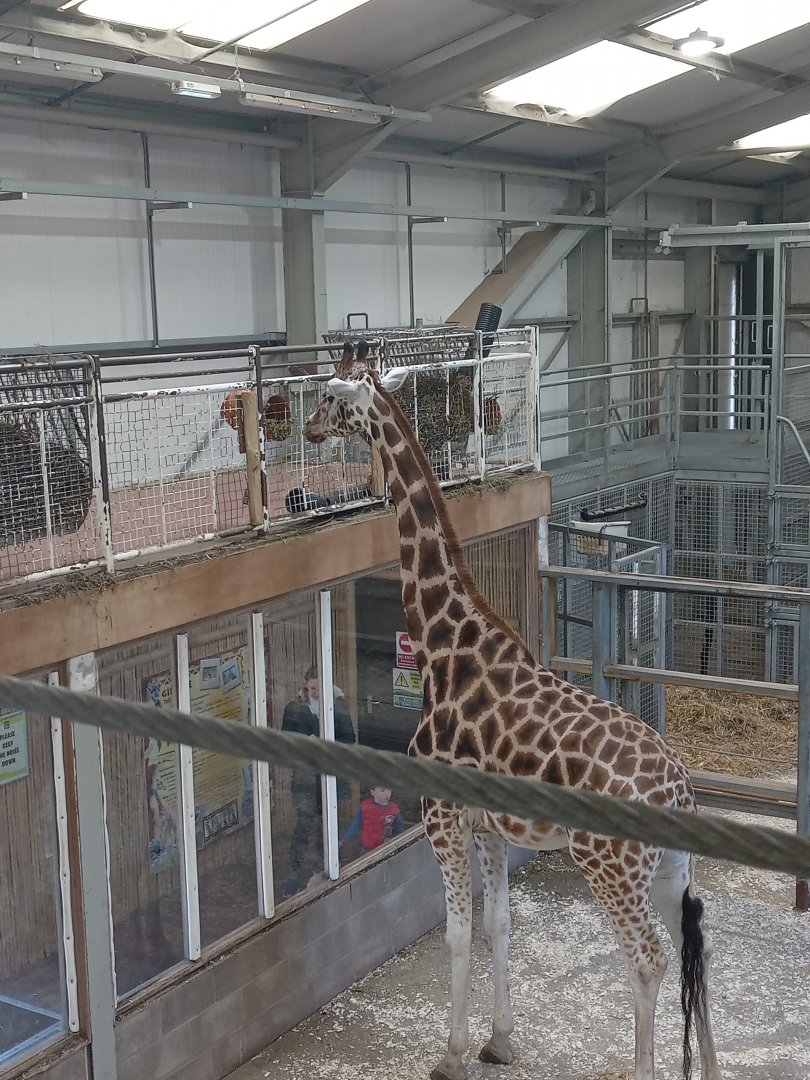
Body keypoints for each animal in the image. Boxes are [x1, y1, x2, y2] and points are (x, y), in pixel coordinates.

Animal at [303, 348, 722, 1080]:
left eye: (330, 394)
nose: (304, 427)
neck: (444, 647)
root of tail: (680, 788)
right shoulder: (489, 825)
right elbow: (498, 923)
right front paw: (500, 1040)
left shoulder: (440, 814)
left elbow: (458, 931)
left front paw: (451, 1054)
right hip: (670, 867)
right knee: (692, 949)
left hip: (609, 865)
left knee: (648, 957)